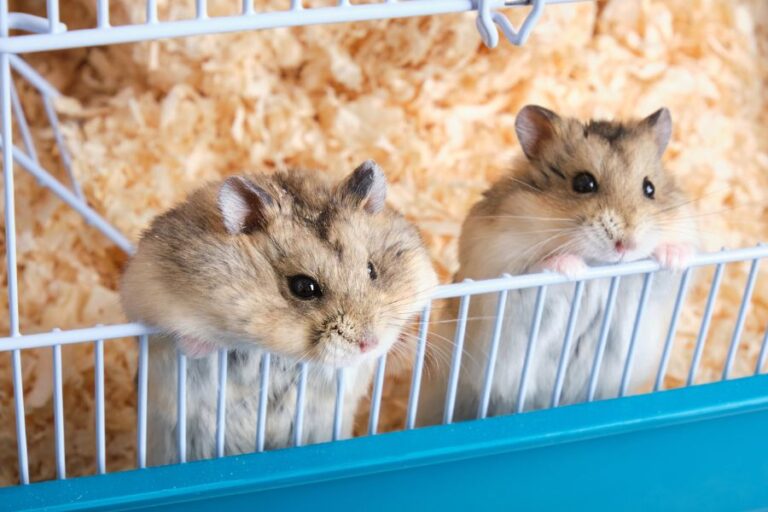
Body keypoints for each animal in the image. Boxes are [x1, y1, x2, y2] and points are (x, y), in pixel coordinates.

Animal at [417, 106, 697, 425]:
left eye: (649, 188)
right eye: (584, 183)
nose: (625, 245)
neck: (601, 266)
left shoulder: (653, 291)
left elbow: (667, 271)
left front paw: (676, 257)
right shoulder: (505, 278)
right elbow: (539, 268)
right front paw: (573, 269)